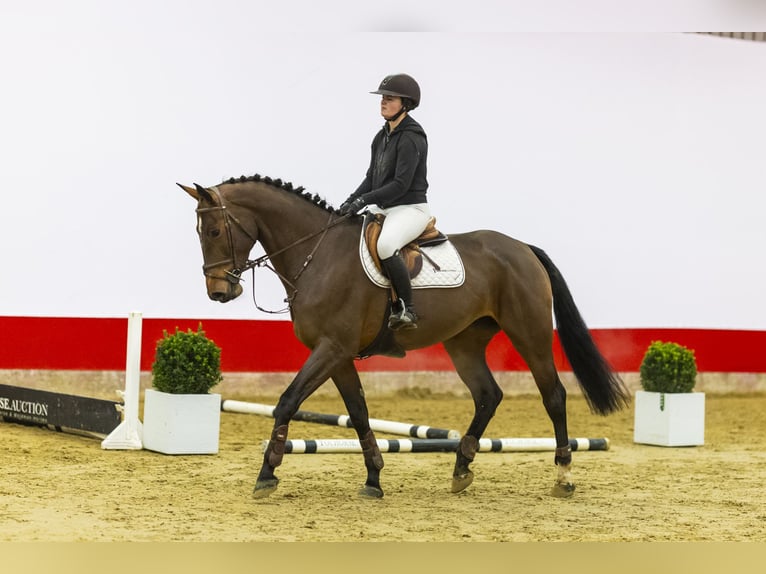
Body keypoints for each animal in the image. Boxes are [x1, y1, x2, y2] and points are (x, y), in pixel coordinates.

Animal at [180, 174, 632, 500]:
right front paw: (374, 479)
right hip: (464, 342)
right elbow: (359, 413)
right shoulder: (338, 354)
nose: (219, 292)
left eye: (215, 231)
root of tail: (522, 247)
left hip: (530, 332)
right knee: (488, 395)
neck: (318, 255)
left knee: (553, 395)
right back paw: (462, 469)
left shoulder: (331, 348)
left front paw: (267, 473)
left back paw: (563, 477)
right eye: (199, 233)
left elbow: (287, 401)